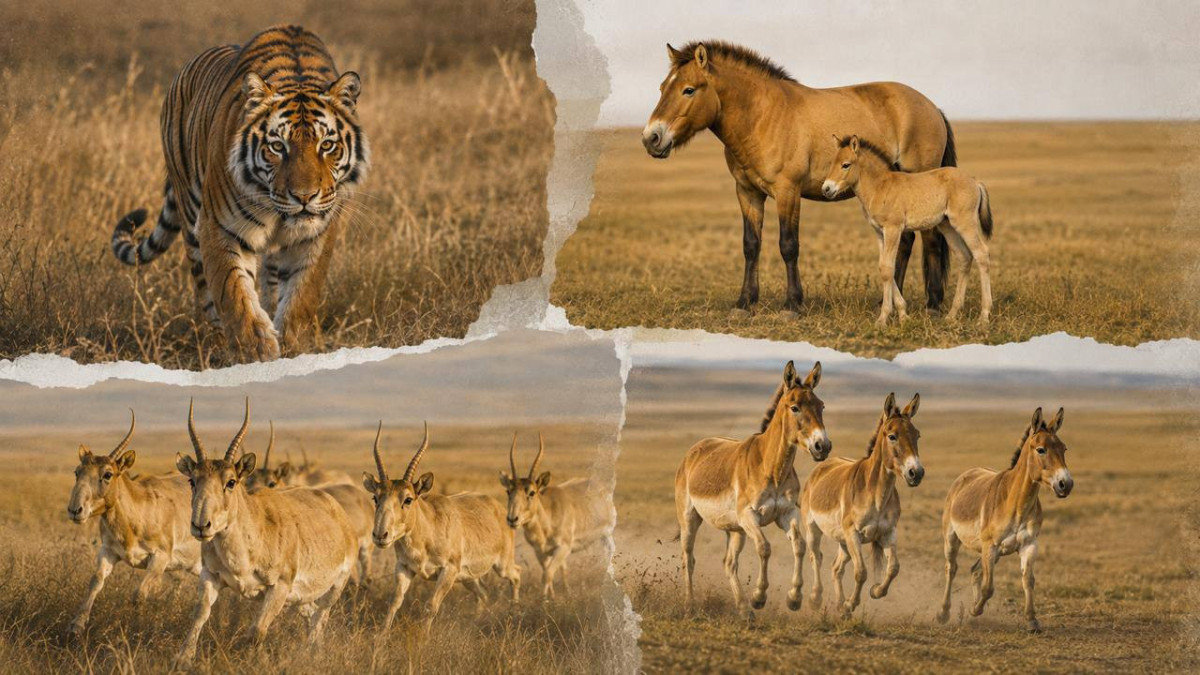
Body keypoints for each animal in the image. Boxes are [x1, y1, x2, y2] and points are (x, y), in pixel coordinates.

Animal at [642, 40, 956, 315]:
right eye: (662, 88)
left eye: (688, 90)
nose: (651, 138)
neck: (762, 117)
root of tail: (932, 107)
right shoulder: (747, 192)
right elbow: (751, 245)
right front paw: (745, 303)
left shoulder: (787, 192)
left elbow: (788, 245)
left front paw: (792, 305)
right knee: (905, 242)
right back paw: (887, 302)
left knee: (930, 240)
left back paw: (933, 305)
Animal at [674, 361, 832, 618]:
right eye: (795, 407)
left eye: (821, 406)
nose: (823, 446)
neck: (772, 468)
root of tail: (696, 449)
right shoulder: (749, 515)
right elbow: (765, 547)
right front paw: (759, 596)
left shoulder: (787, 513)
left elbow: (799, 546)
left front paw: (794, 598)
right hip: (690, 519)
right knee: (688, 558)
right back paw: (690, 606)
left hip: (735, 530)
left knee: (729, 563)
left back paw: (743, 610)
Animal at [799, 392, 924, 617]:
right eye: (892, 436)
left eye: (917, 435)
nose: (916, 473)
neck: (875, 495)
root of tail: (822, 466)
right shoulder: (853, 534)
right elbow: (861, 572)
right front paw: (851, 603)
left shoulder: (888, 533)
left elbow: (894, 568)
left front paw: (875, 591)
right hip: (814, 530)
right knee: (816, 558)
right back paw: (816, 598)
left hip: (843, 542)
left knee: (836, 568)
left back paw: (840, 605)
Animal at [822, 135, 994, 326]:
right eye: (832, 163)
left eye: (846, 164)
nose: (826, 189)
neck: (880, 187)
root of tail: (975, 181)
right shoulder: (879, 232)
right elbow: (883, 267)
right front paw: (903, 314)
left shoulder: (893, 229)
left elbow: (888, 268)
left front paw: (883, 318)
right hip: (947, 226)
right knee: (964, 257)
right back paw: (952, 314)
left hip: (965, 223)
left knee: (982, 254)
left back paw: (984, 316)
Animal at [937, 407, 1074, 633]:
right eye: (1041, 450)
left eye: (1064, 448)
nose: (1066, 484)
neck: (1016, 503)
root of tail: (967, 474)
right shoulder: (990, 546)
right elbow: (989, 587)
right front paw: (975, 610)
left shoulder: (1029, 545)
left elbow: (1028, 581)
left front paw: (1032, 621)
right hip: (952, 539)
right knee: (951, 568)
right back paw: (943, 613)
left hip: (995, 552)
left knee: (975, 571)